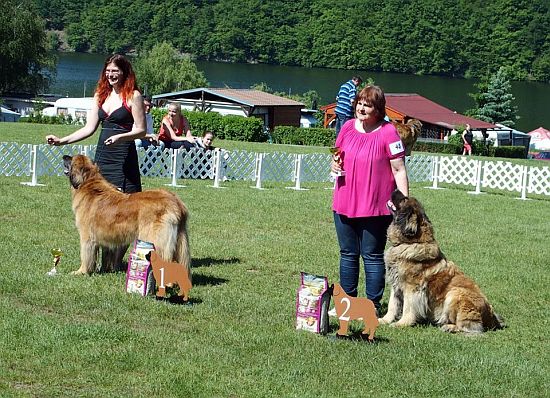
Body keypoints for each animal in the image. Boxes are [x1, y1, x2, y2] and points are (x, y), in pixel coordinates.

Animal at [62, 154, 191, 276]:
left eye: (71, 159)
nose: (64, 156)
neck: (88, 181)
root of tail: (176, 202)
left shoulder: (87, 236)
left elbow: (85, 255)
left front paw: (81, 271)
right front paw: (106, 269)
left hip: (155, 240)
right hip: (180, 241)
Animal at [382, 190, 506, 332]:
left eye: (404, 199)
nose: (396, 190)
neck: (411, 243)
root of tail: (492, 317)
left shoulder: (412, 288)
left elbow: (408, 308)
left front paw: (401, 323)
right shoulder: (395, 284)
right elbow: (392, 305)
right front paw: (384, 320)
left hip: (455, 293)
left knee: (467, 325)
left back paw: (449, 327)